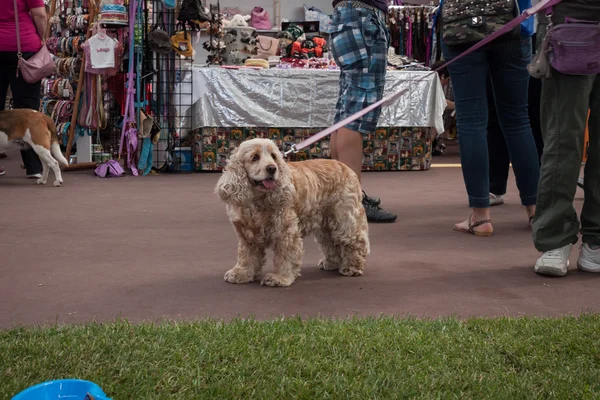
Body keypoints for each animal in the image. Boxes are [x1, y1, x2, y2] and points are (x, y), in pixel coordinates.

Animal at [213, 138, 368, 288]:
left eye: (273, 156)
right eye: (254, 157)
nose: (272, 168)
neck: (258, 200)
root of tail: (346, 167)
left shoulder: (285, 231)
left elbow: (285, 256)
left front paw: (280, 278)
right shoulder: (247, 234)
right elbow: (246, 255)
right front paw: (241, 273)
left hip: (344, 218)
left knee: (355, 240)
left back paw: (352, 267)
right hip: (325, 222)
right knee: (330, 242)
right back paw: (330, 263)